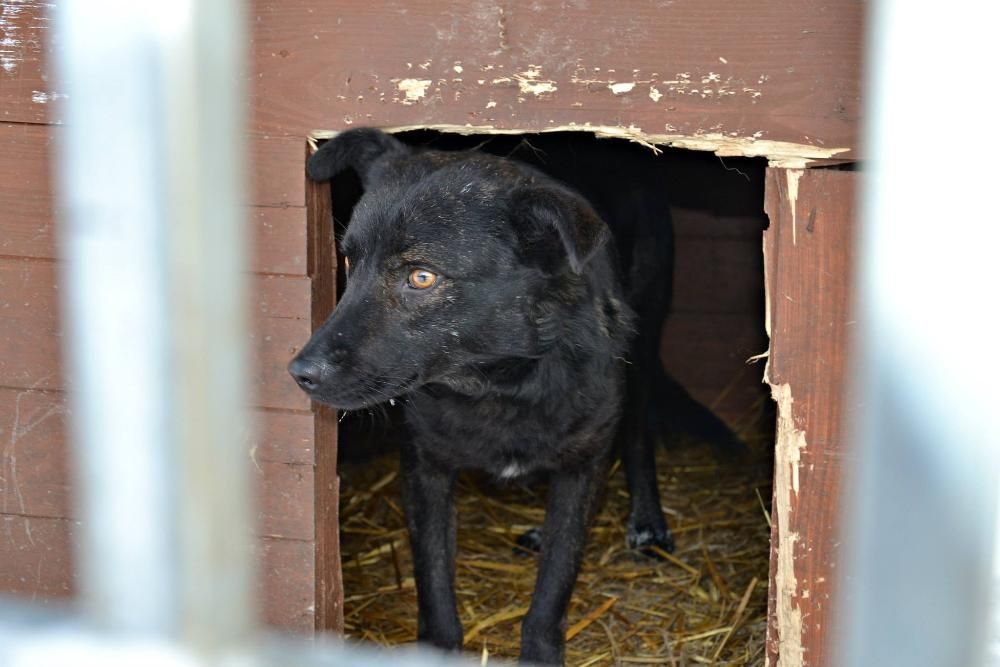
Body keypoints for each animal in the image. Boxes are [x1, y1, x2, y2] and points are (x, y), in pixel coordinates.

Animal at [292, 129, 740, 664]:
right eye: (347, 259)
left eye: (421, 277)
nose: (300, 372)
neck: (499, 383)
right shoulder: (425, 468)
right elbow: (434, 585)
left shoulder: (582, 466)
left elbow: (554, 588)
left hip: (646, 333)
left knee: (636, 431)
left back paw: (648, 523)